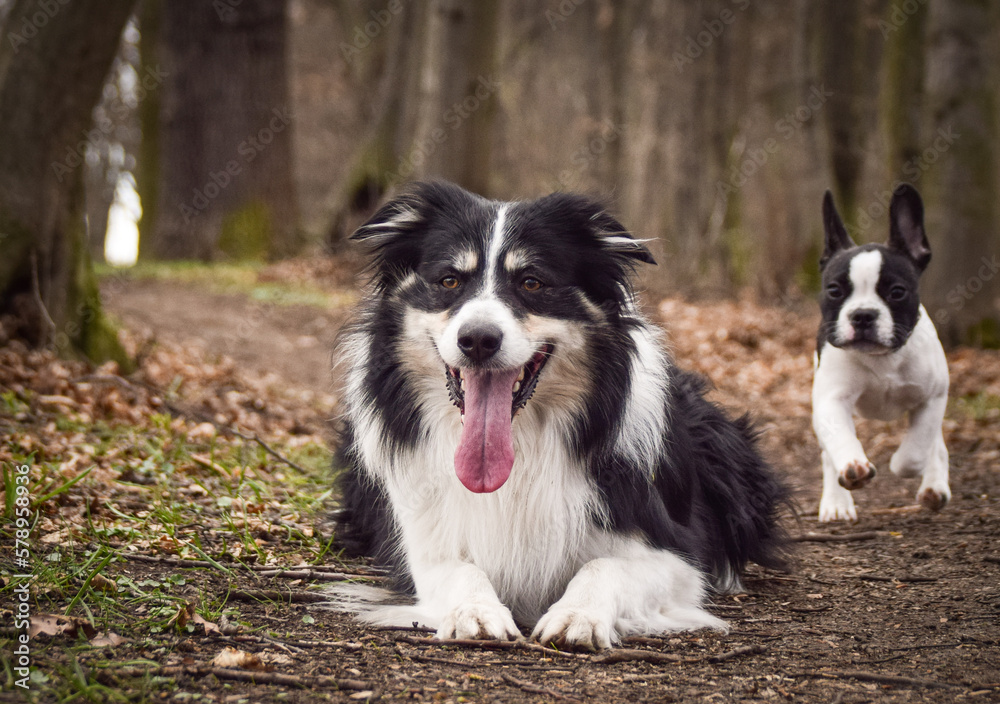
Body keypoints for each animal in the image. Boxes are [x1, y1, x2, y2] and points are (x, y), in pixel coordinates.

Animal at [336, 182, 788, 648]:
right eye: (449, 280)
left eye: (532, 282)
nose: (477, 339)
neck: (522, 446)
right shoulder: (422, 549)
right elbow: (459, 570)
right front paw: (475, 612)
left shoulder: (677, 557)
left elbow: (603, 566)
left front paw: (579, 615)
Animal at [808, 184, 948, 520]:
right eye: (834, 290)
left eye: (897, 292)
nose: (862, 315)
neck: (883, 359)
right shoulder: (831, 400)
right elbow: (840, 439)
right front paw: (853, 468)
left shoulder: (933, 397)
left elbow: (918, 448)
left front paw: (903, 464)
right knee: (827, 454)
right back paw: (837, 503)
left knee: (936, 443)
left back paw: (935, 487)